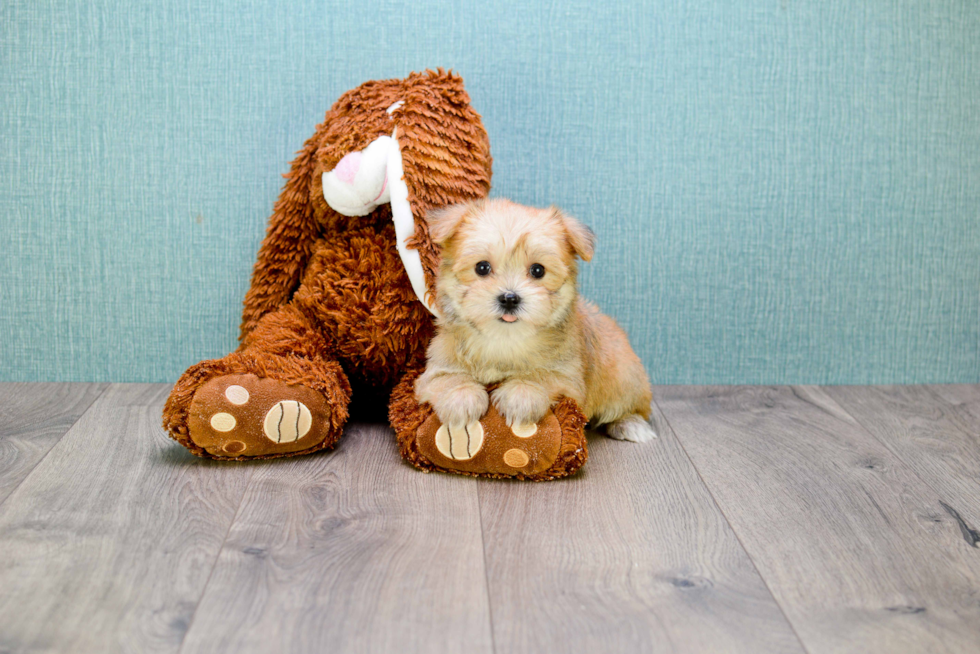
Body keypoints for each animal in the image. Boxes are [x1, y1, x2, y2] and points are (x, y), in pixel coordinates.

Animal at [414, 197, 660, 444]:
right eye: (482, 267)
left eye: (538, 270)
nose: (509, 298)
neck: (504, 339)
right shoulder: (435, 369)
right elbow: (448, 379)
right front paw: (461, 398)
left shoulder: (568, 378)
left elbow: (543, 376)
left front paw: (522, 393)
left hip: (625, 378)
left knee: (631, 406)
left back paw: (629, 424)